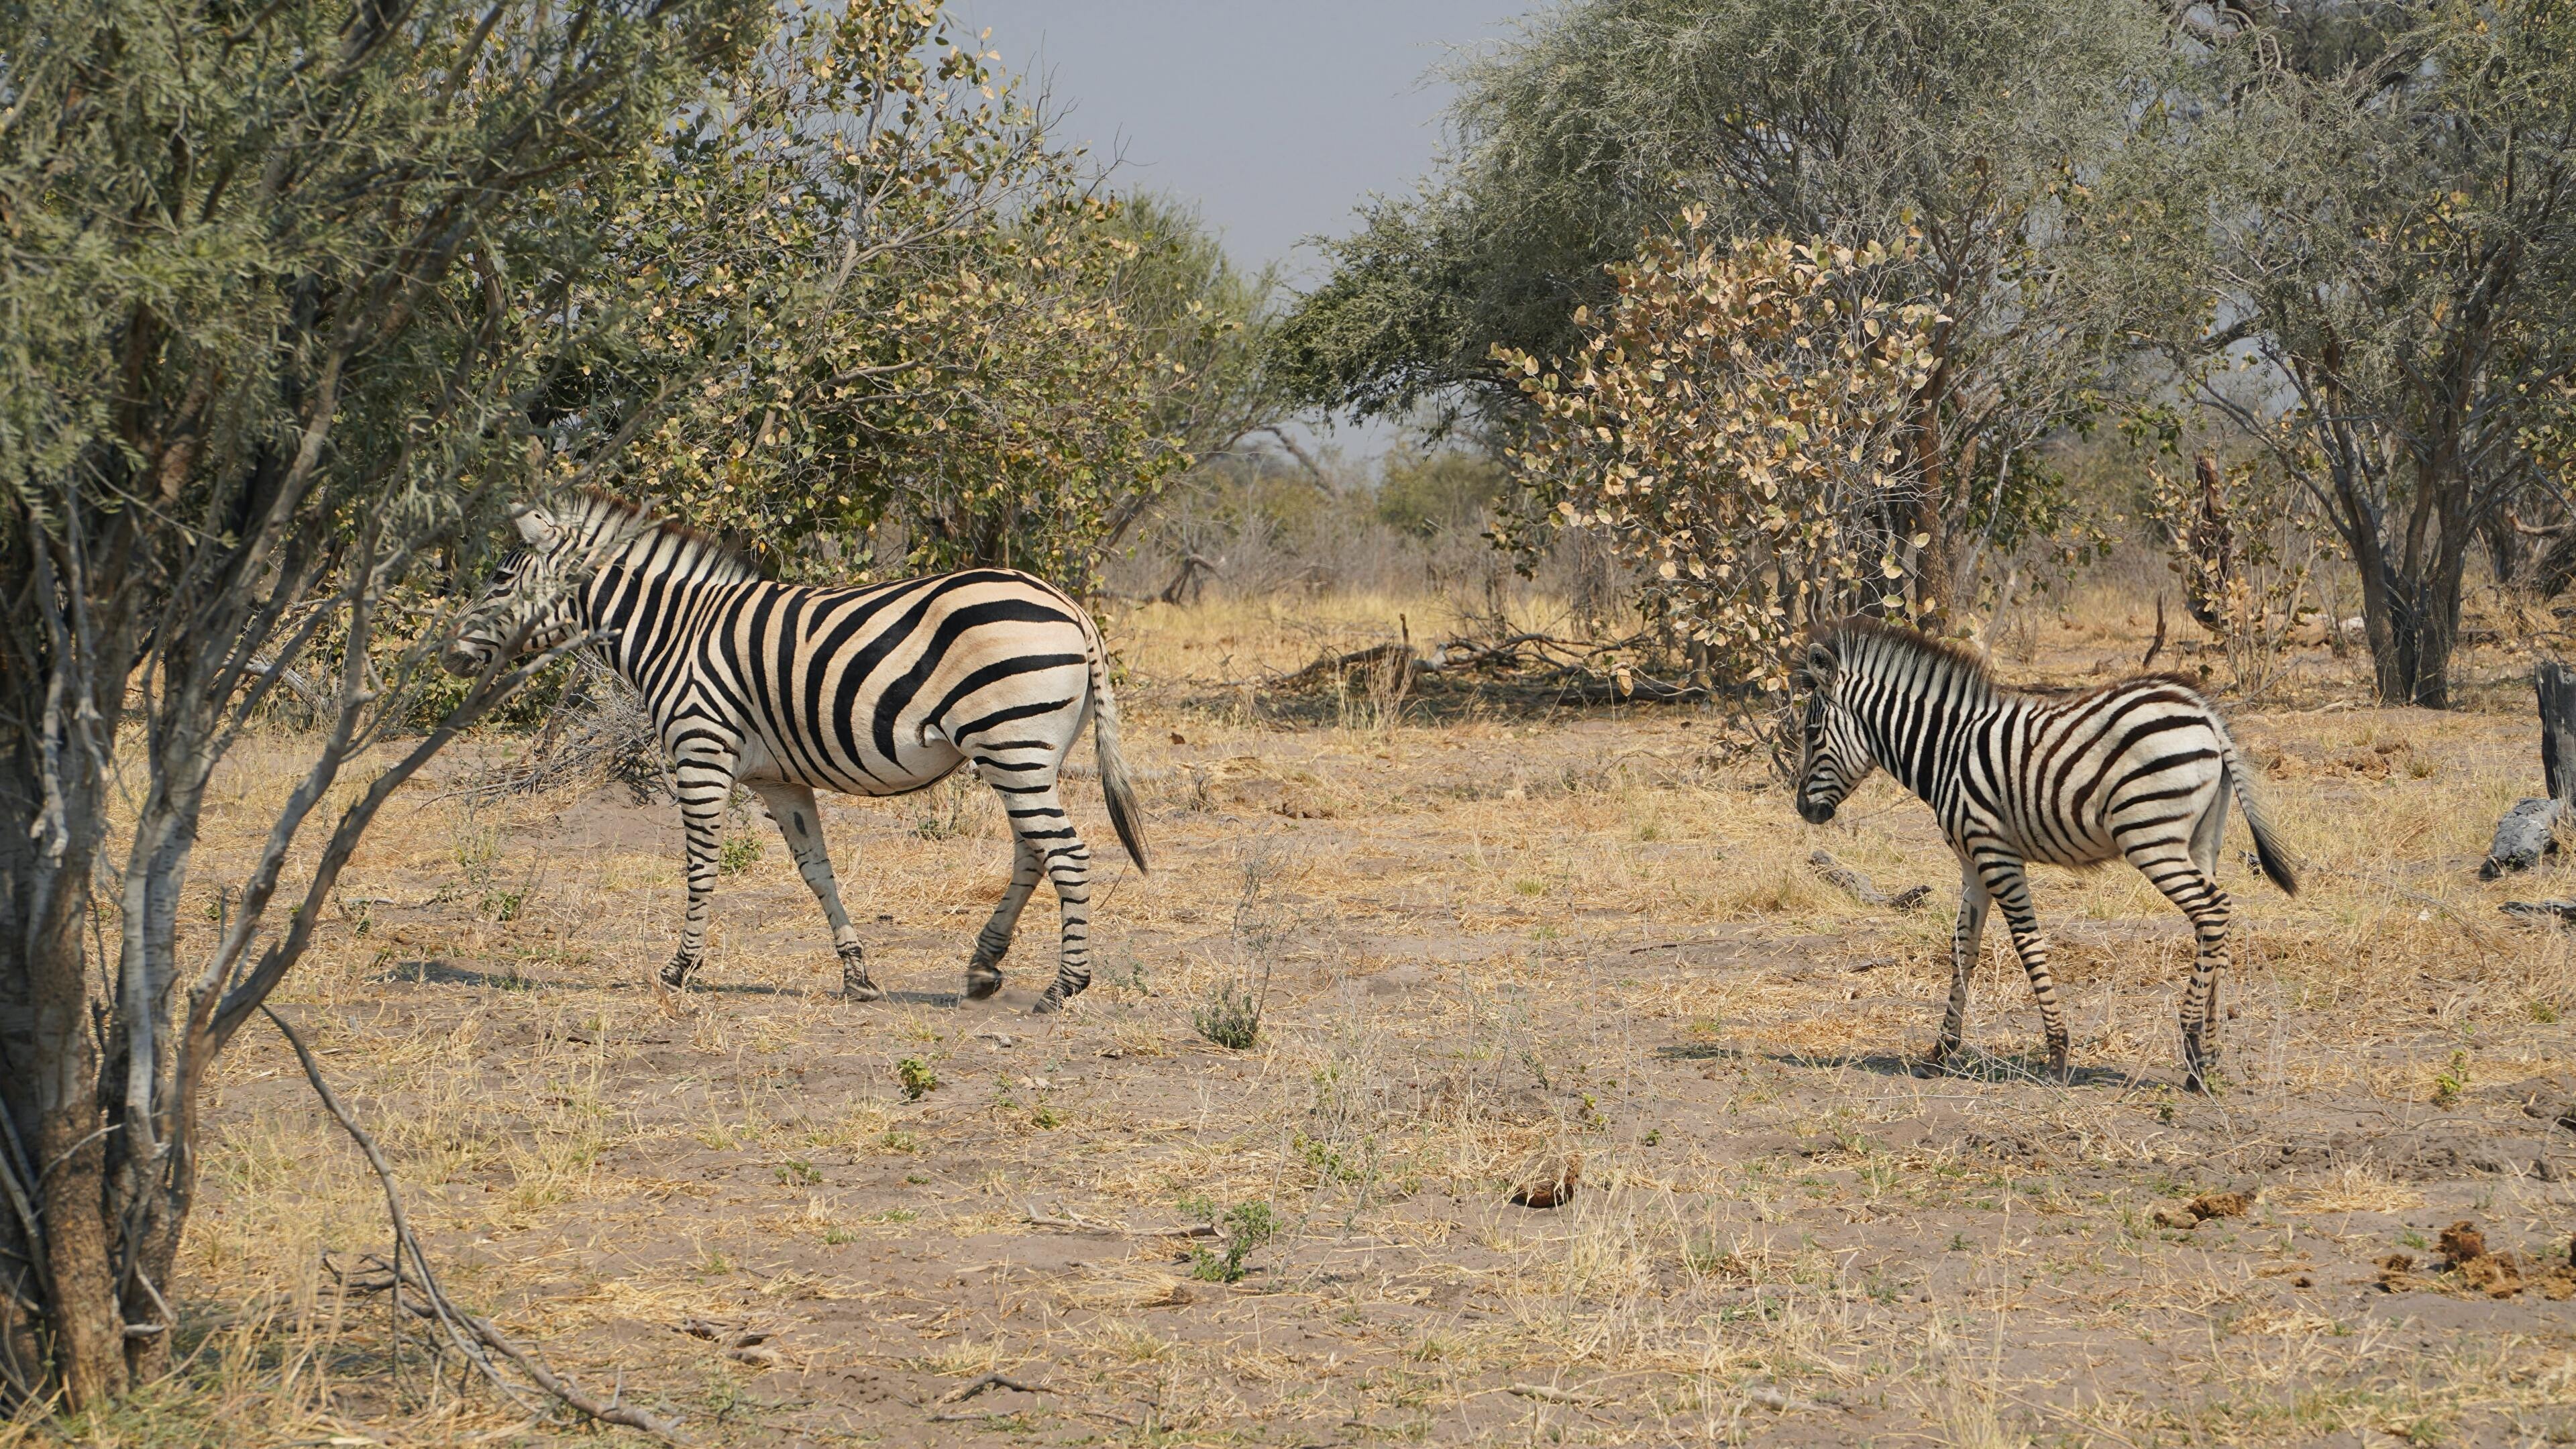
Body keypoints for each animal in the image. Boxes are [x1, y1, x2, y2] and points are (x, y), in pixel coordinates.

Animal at [443, 490, 1148, 1010]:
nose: (448, 654)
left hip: (1010, 742)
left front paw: (680, 971)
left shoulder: (701, 750)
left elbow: (701, 866)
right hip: (1027, 752)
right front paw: (857, 976)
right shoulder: (778, 779)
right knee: (1034, 852)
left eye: (500, 581)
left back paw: (1064, 987)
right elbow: (818, 871)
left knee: (1067, 853)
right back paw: (983, 966)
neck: (675, 632)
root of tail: (1072, 609)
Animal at [1792, 613, 2298, 1087]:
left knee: (2212, 909)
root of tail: (2207, 717)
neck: (1946, 752)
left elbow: (2027, 942)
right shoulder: (1970, 863)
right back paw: (2210, 1054)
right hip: (2202, 838)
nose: (1804, 810)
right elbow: (1963, 948)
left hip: (2149, 834)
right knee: (2212, 923)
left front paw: (2057, 1051)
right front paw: (1941, 1051)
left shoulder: (1995, 852)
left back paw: (2192, 1049)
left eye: (1812, 733)